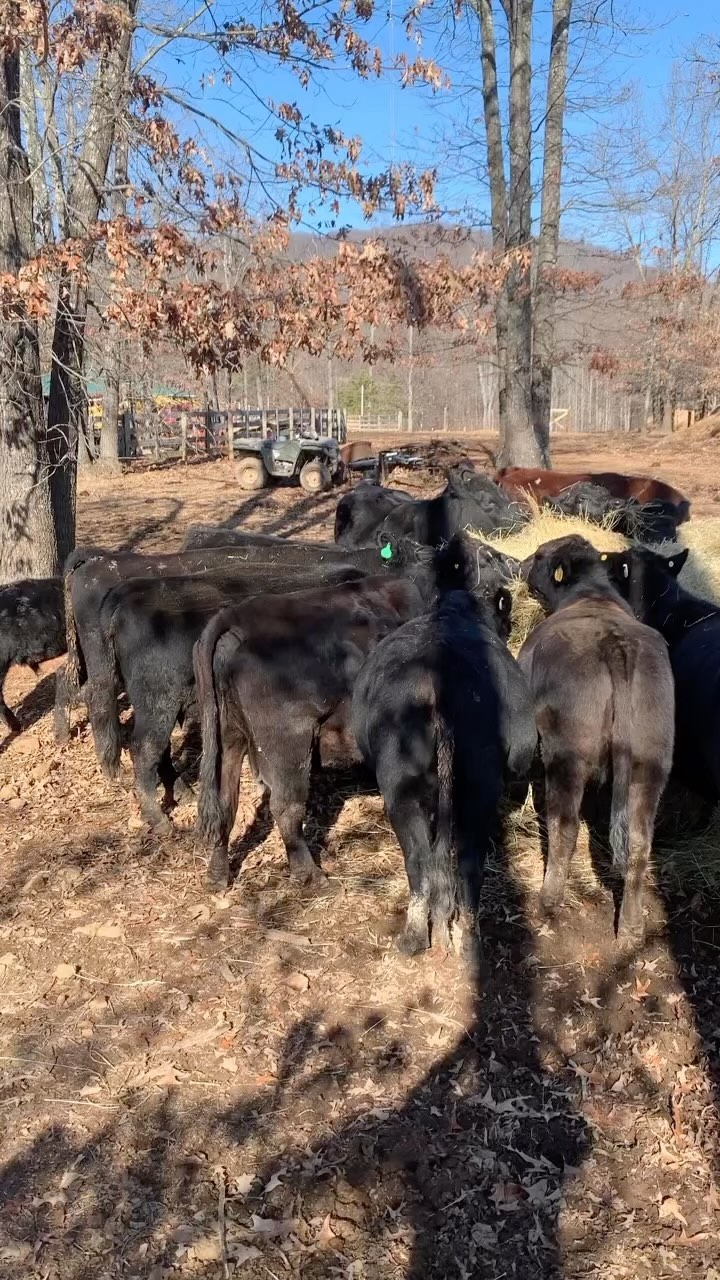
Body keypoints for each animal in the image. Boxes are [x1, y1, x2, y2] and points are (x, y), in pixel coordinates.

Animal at [352, 588, 536, 967]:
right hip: (468, 790)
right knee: (458, 863)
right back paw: (458, 940)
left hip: (404, 789)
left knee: (425, 860)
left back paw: (423, 936)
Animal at [518, 535, 674, 944]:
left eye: (539, 555)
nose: (521, 563)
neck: (591, 594)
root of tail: (615, 643)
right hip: (650, 762)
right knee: (638, 843)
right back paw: (631, 927)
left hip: (566, 758)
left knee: (565, 827)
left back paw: (548, 903)